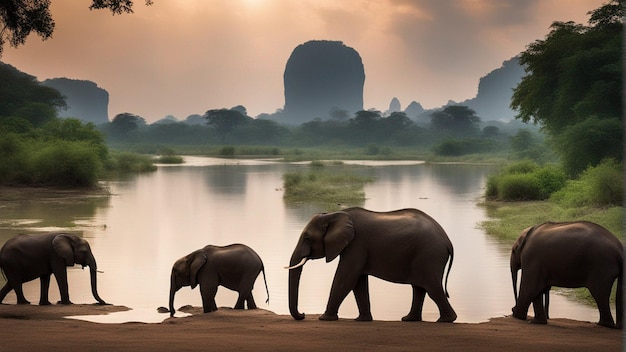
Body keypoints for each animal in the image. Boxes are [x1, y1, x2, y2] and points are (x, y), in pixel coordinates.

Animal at [286, 208, 456, 324]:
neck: (336, 214)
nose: (303, 314)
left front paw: (325, 318)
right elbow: (358, 282)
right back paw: (408, 319)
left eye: (307, 238)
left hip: (429, 255)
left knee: (432, 287)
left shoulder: (356, 245)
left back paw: (445, 320)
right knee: (419, 288)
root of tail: (447, 241)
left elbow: (345, 278)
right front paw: (362, 320)